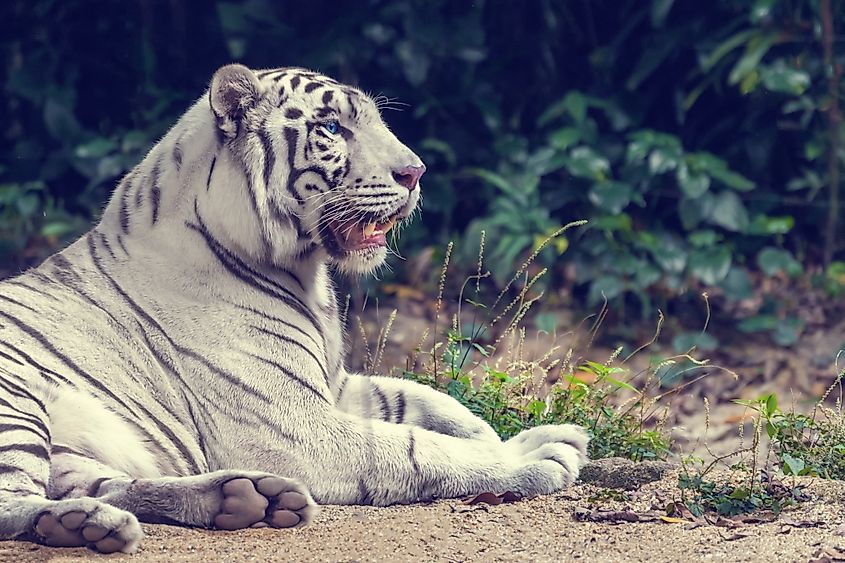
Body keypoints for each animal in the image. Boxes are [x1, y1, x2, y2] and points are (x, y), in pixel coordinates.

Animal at [0, 64, 589, 554]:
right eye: (331, 127)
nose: (416, 172)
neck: (305, 274)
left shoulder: (334, 384)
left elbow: (431, 402)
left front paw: (532, 436)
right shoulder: (293, 425)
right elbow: (415, 447)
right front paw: (535, 458)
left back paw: (241, 499)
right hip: (17, 400)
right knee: (15, 504)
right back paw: (89, 524)